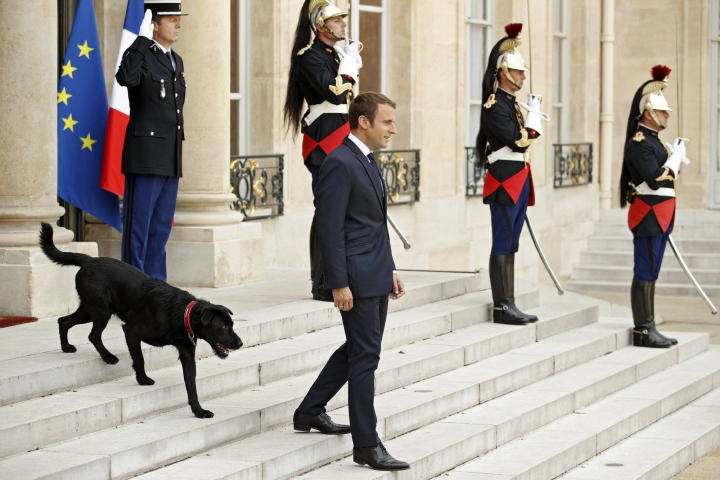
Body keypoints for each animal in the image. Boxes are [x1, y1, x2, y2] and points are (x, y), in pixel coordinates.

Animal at [39, 222, 243, 418]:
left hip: (89, 310)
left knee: (63, 321)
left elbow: (191, 386)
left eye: (232, 325)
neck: (182, 314)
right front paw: (142, 379)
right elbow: (139, 359)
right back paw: (108, 357)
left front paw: (199, 411)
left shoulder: (186, 354)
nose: (240, 343)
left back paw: (66, 347)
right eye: (223, 326)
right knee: (93, 335)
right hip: (101, 310)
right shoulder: (131, 332)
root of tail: (90, 259)